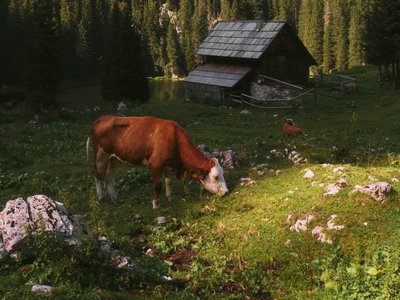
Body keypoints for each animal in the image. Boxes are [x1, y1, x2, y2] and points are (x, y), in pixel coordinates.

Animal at [85, 115, 228, 209]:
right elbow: (157, 185)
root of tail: (104, 117)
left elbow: (168, 181)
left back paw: (114, 198)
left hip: (113, 158)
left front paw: (170, 197)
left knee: (109, 176)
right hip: (101, 155)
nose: (226, 192)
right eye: (215, 176)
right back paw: (101, 197)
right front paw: (156, 204)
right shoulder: (155, 164)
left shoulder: (168, 165)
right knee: (98, 175)